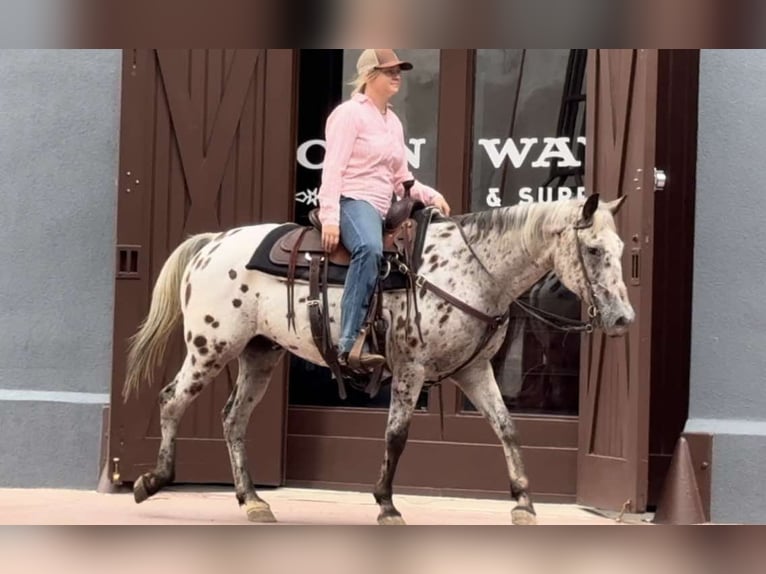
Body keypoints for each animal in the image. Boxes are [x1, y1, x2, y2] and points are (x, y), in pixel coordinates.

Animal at [120, 192, 636, 528]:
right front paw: (387, 503)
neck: (471, 270)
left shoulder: (474, 371)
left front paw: (524, 503)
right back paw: (153, 480)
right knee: (171, 400)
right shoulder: (410, 366)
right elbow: (397, 435)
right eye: (593, 250)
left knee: (232, 419)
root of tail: (211, 243)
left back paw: (252, 501)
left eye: (621, 250)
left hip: (259, 353)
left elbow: (507, 428)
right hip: (211, 346)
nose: (623, 318)